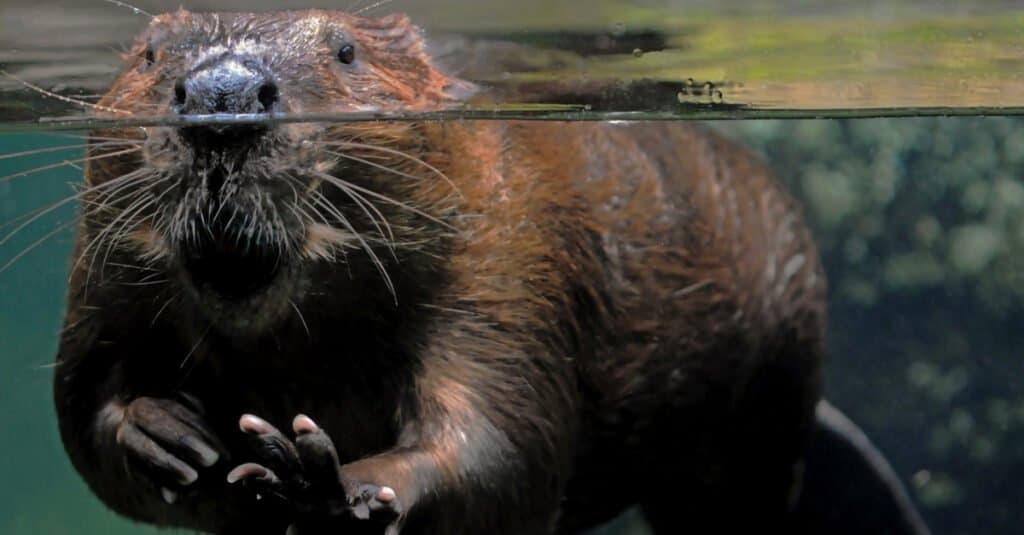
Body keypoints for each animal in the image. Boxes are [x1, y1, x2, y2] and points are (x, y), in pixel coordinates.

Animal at [49, 8, 929, 532]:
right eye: (150, 51)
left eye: (345, 49)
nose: (222, 95)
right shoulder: (104, 268)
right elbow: (81, 404)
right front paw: (170, 434)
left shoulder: (504, 253)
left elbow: (499, 441)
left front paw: (321, 476)